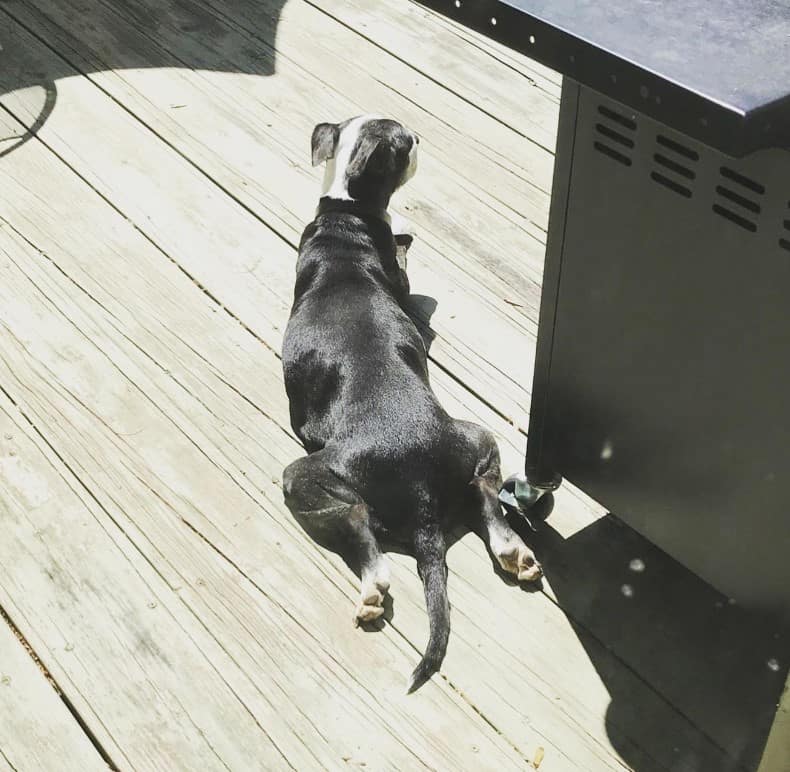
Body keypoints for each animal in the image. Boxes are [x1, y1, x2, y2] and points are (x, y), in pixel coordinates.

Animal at [280, 114, 544, 692]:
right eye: (405, 142)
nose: (421, 137)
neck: (346, 212)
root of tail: (422, 499)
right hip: (471, 437)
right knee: (474, 497)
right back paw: (509, 552)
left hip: (314, 472)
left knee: (369, 518)